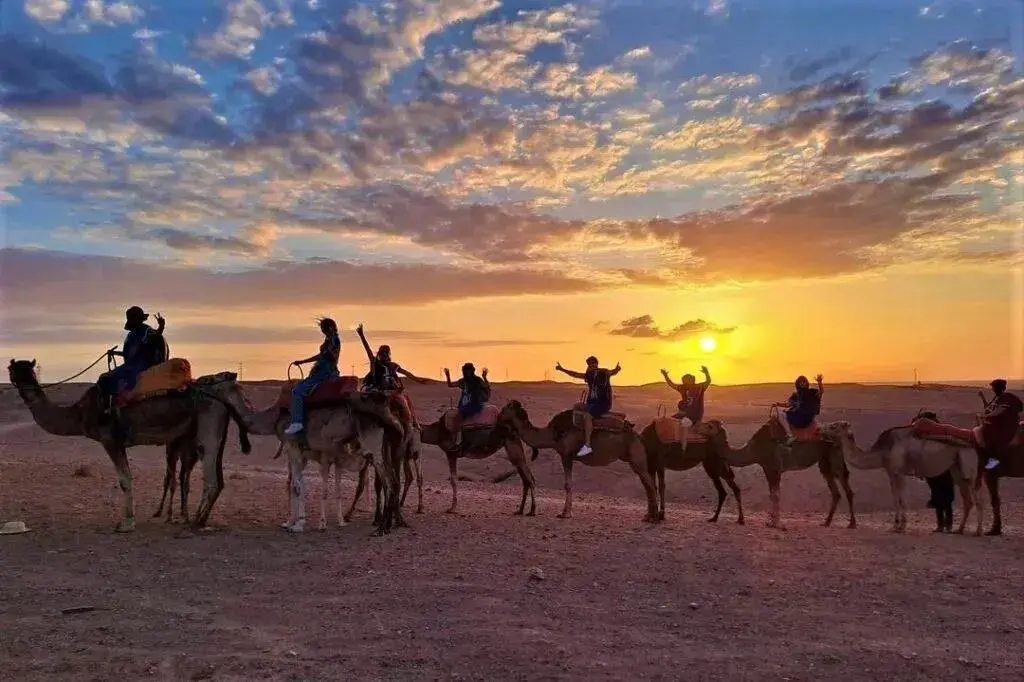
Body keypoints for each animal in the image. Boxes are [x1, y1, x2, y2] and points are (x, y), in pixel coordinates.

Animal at [7, 359, 250, 532]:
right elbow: (128, 478)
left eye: (15, 370)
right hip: (212, 430)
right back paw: (196, 520)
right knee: (214, 477)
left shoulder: (110, 439)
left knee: (211, 476)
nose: (22, 384)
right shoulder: (119, 442)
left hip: (207, 423)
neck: (81, 413)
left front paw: (126, 523)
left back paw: (195, 522)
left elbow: (124, 480)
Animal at [217, 378, 406, 534]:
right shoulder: (304, 453)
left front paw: (298, 524)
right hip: (384, 446)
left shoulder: (292, 446)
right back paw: (390, 524)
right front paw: (293, 521)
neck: (275, 417)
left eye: (216, 381)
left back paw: (382, 528)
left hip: (372, 445)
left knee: (389, 482)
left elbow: (296, 484)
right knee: (394, 480)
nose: (206, 381)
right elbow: (299, 483)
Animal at [498, 400, 658, 521]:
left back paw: (654, 518)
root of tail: (639, 436)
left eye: (504, 409)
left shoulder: (566, 455)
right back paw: (648, 515)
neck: (552, 434)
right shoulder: (567, 456)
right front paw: (565, 512)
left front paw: (565, 514)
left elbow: (567, 484)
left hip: (637, 457)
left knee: (650, 485)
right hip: (633, 459)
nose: (498, 416)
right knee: (647, 484)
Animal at [703, 411, 855, 529]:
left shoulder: (774, 467)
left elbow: (776, 494)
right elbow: (772, 494)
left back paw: (851, 524)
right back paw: (826, 522)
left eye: (709, 425)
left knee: (845, 484)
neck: (753, 449)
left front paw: (775, 523)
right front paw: (771, 520)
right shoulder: (767, 468)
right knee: (835, 490)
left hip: (835, 454)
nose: (700, 427)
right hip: (825, 461)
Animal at [821, 421, 981, 535]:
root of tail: (973, 443)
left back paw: (978, 531)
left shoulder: (899, 472)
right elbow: (895, 497)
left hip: (969, 465)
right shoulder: (891, 473)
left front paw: (902, 526)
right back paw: (959, 529)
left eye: (834, 426)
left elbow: (902, 497)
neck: (883, 451)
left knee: (977, 497)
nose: (821, 429)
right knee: (967, 499)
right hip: (956, 469)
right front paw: (895, 525)